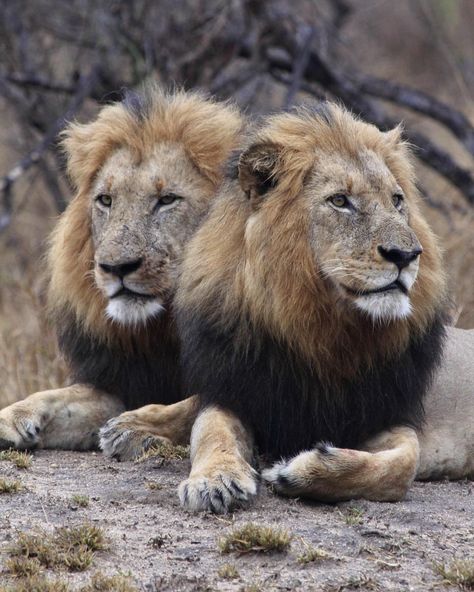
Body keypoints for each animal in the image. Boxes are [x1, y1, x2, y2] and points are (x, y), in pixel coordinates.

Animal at [0, 84, 243, 454]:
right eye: (106, 200)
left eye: (167, 200)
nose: (116, 268)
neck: (161, 331)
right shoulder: (124, 381)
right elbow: (59, 397)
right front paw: (11, 416)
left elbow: (192, 405)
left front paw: (134, 426)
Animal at [171, 102, 456, 512]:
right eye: (340, 201)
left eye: (397, 200)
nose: (406, 255)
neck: (324, 327)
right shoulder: (233, 386)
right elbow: (211, 432)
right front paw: (215, 481)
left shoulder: (385, 411)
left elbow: (403, 464)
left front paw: (302, 471)